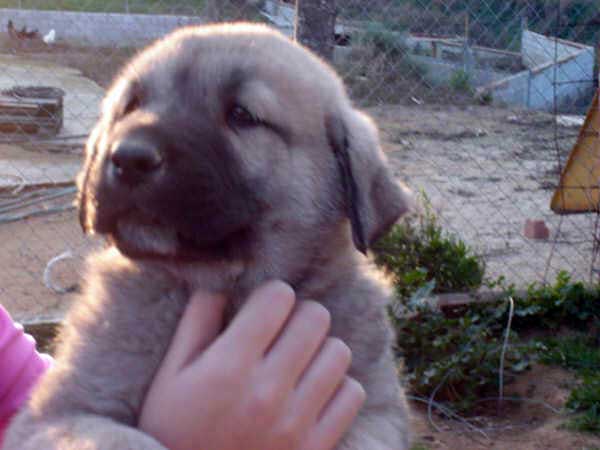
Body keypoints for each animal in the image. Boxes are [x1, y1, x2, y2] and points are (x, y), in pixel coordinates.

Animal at [4, 23, 414, 450]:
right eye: (131, 106)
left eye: (242, 115)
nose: (129, 157)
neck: (230, 287)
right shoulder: (57, 414)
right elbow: (129, 440)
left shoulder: (374, 411)